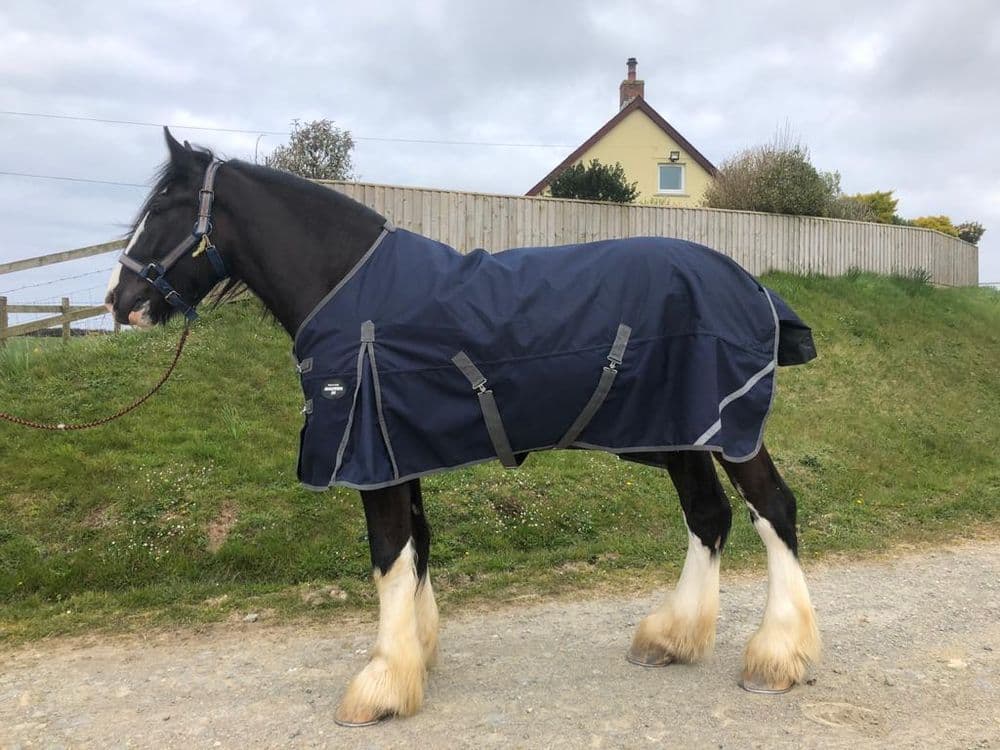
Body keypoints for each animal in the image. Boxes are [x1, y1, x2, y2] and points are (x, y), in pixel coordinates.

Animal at [106, 128, 821, 727]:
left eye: (166, 208)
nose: (121, 302)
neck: (349, 288)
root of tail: (750, 285)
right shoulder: (399, 449)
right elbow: (417, 546)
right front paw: (416, 653)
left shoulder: (371, 454)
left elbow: (389, 553)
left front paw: (381, 685)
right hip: (678, 433)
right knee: (707, 515)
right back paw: (671, 637)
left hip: (727, 428)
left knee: (772, 508)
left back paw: (776, 655)